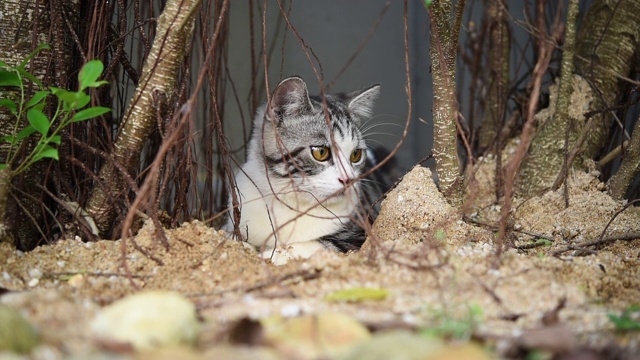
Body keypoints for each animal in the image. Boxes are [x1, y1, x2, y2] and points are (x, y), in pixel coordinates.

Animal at [229, 76, 390, 264]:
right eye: (321, 152)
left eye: (356, 155)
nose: (348, 179)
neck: (291, 202)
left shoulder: (360, 233)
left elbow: (319, 244)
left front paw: (273, 255)